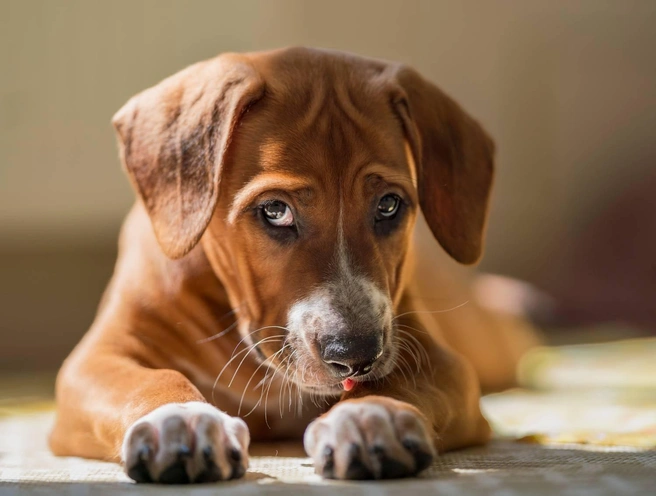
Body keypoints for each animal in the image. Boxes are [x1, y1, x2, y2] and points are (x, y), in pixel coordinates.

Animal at [47, 46, 540, 480]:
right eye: (275, 210)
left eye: (389, 206)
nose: (355, 356)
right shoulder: (95, 359)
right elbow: (150, 380)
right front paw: (180, 419)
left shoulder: (443, 363)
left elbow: (398, 383)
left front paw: (371, 415)